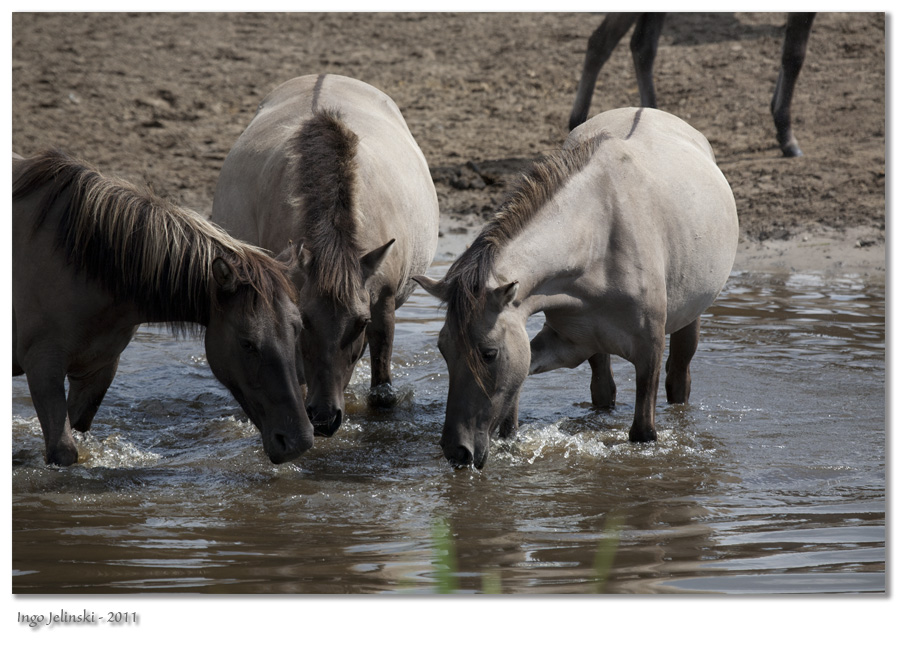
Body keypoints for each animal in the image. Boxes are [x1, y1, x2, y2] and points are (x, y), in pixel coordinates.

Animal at [11, 150, 316, 468]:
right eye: (247, 343)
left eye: (298, 329)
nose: (298, 441)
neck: (80, 259)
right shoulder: (43, 368)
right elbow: (62, 451)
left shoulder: (97, 370)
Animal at [414, 107, 740, 470]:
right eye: (443, 348)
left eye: (489, 353)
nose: (457, 451)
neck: (597, 241)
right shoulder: (567, 344)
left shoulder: (649, 353)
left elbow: (643, 432)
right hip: (595, 346)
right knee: (603, 390)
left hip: (689, 321)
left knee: (679, 380)